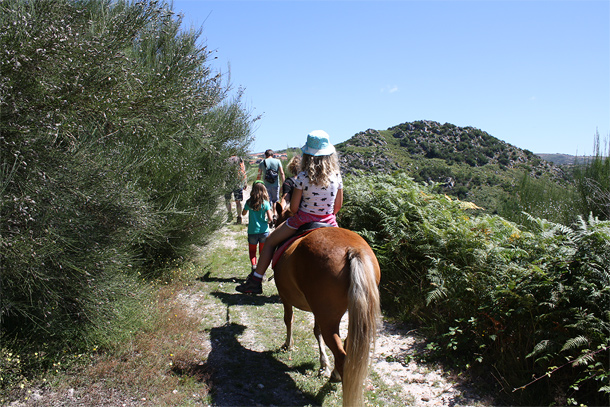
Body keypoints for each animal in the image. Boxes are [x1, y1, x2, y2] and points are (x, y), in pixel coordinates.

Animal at [272, 202, 380, 406]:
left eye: (274, 219)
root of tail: (354, 250)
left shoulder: (285, 297)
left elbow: (288, 319)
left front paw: (288, 344)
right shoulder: (317, 309)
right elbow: (316, 331)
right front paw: (323, 363)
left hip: (329, 317)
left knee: (341, 354)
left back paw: (337, 377)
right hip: (347, 314)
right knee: (347, 346)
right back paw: (334, 373)